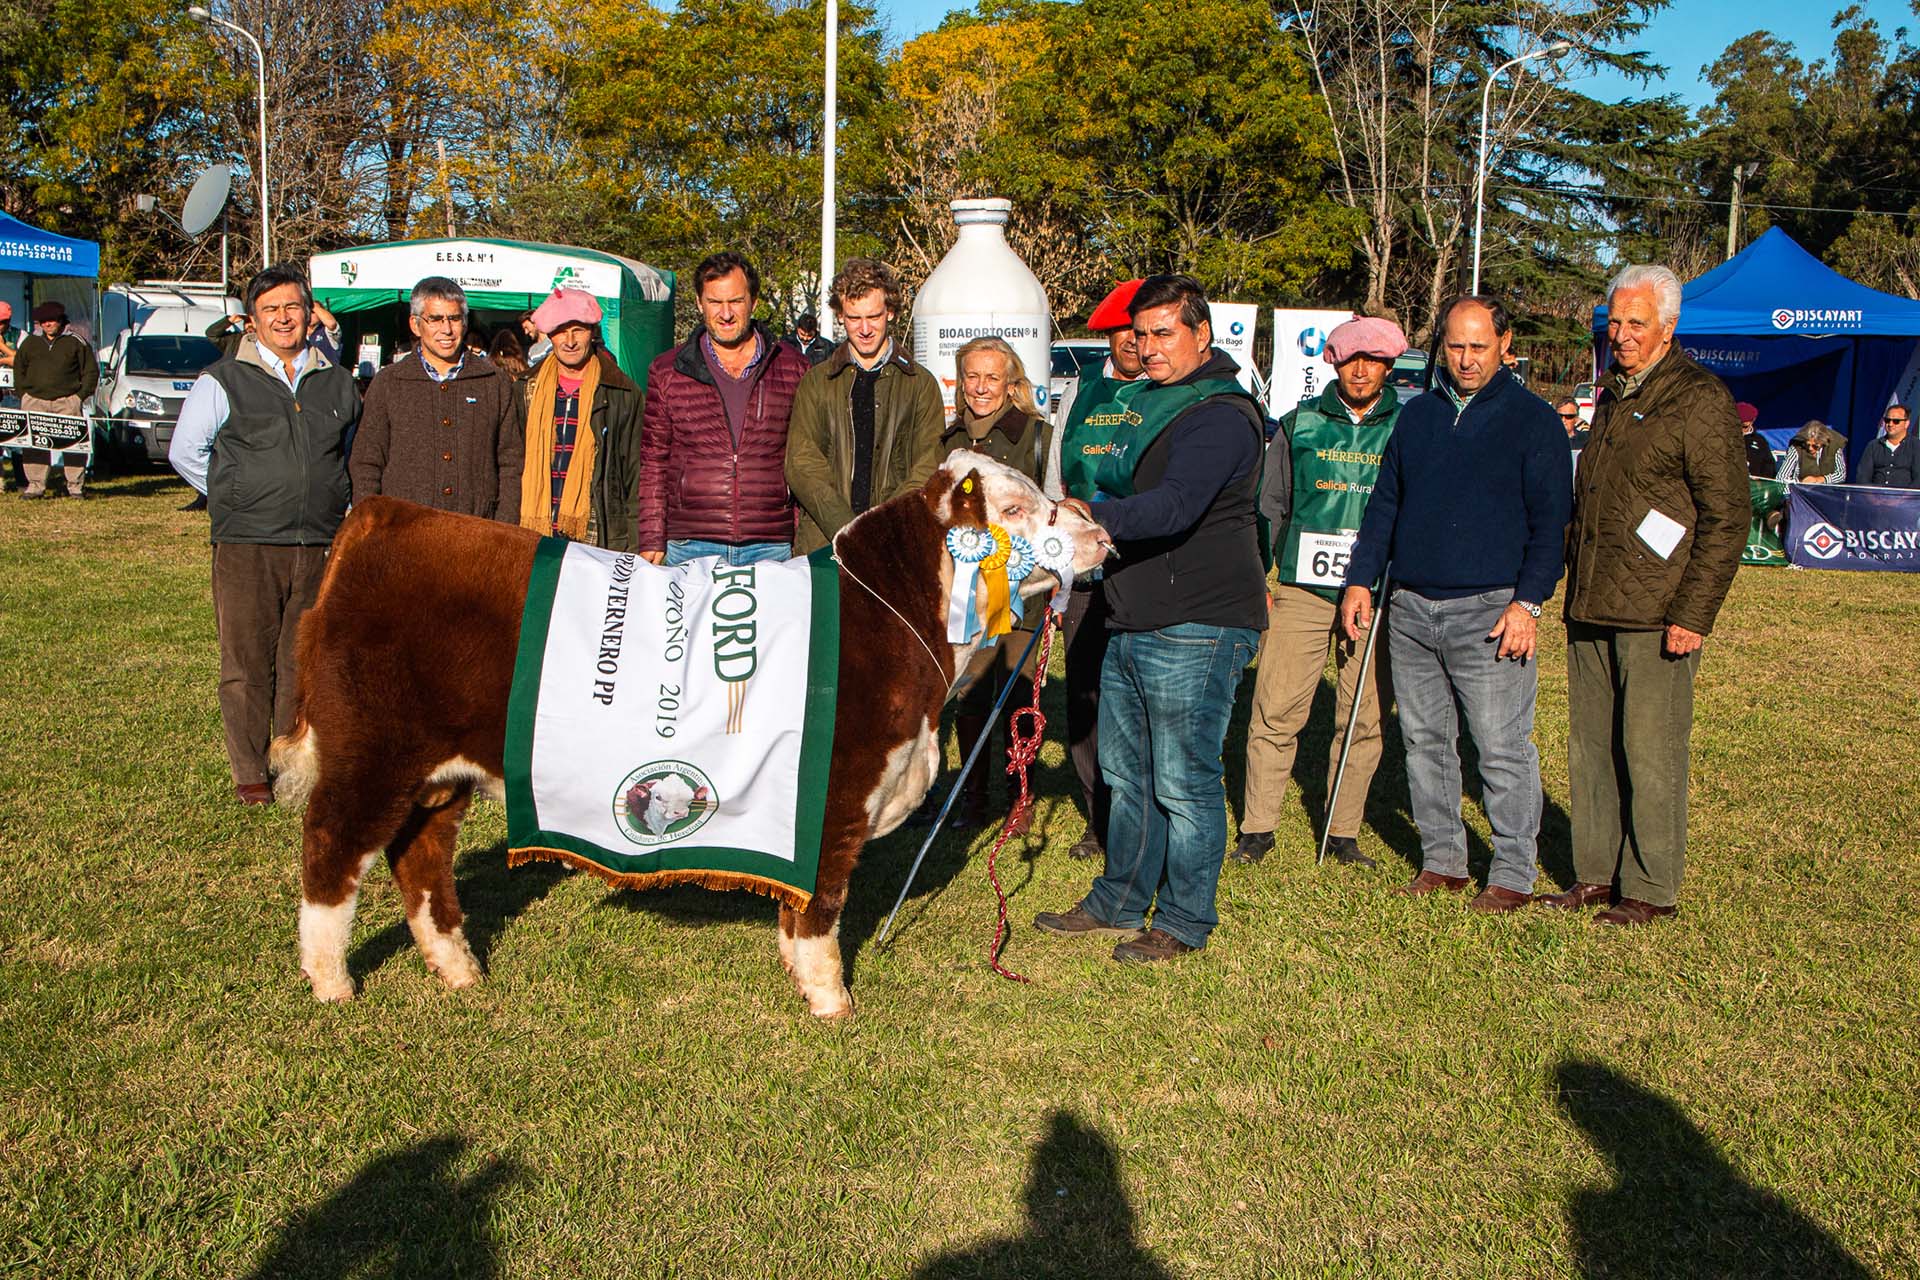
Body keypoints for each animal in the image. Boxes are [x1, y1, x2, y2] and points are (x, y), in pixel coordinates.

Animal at [270, 454, 1113, 1013]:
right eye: (1012, 513)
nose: (1099, 532)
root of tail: (382, 515)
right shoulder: (836, 793)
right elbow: (821, 905)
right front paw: (829, 999)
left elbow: (795, 906)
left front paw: (798, 973)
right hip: (372, 757)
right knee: (332, 852)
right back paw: (332, 983)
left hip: (439, 775)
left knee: (420, 860)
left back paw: (459, 969)